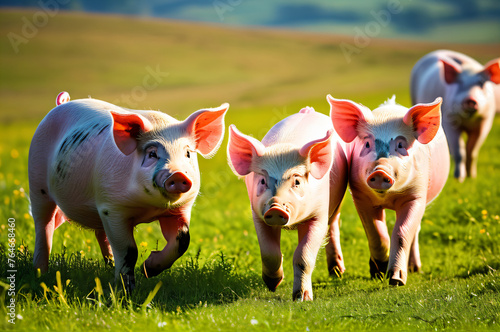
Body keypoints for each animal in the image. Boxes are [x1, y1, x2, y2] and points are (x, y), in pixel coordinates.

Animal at [29, 91, 229, 290]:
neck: (149, 209)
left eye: (187, 153)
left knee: (100, 233)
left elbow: (182, 240)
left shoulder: (180, 208)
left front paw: (148, 270)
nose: (178, 174)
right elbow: (129, 250)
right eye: (152, 154)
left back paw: (109, 265)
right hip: (37, 183)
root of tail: (61, 104)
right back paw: (40, 273)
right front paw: (126, 291)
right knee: (43, 226)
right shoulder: (113, 208)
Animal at [227, 106, 348, 300]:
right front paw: (273, 285)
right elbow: (269, 253)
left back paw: (337, 273)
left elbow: (303, 256)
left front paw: (302, 298)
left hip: (337, 202)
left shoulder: (318, 214)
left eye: (297, 181)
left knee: (333, 224)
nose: (276, 207)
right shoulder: (258, 215)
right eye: (262, 181)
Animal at [328, 95, 450, 286]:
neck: (388, 198)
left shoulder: (416, 195)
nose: (380, 171)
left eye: (400, 145)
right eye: (367, 143)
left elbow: (401, 232)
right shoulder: (361, 196)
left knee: (415, 231)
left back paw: (415, 269)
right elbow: (376, 233)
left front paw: (396, 280)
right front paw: (378, 273)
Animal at [410, 50, 500, 183]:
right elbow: (459, 152)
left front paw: (472, 178)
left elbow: (472, 151)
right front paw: (459, 179)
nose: (470, 99)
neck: (468, 120)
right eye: (460, 83)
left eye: (481, 83)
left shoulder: (485, 122)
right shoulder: (449, 122)